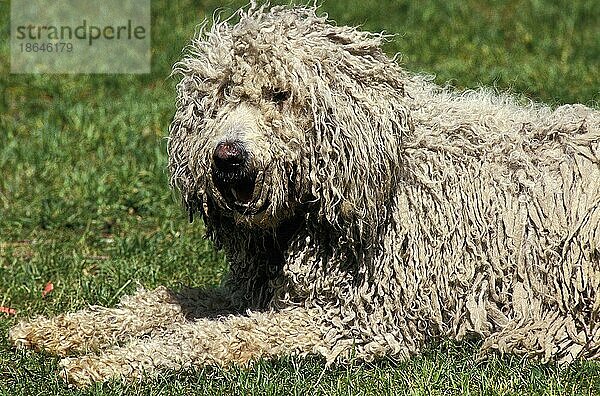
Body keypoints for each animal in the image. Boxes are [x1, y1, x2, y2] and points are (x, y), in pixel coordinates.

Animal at [8, 3, 600, 386]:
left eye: (280, 95)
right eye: (221, 94)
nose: (227, 156)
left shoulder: (357, 319)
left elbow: (215, 337)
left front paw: (101, 363)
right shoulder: (255, 292)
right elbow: (159, 306)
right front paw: (54, 331)